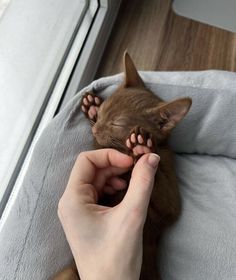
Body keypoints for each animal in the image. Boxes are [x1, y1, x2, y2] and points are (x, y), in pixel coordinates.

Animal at [53, 51, 192, 278]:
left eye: (117, 123)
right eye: (103, 111)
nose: (95, 128)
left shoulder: (169, 209)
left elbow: (161, 187)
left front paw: (143, 149)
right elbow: (100, 147)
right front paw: (92, 107)